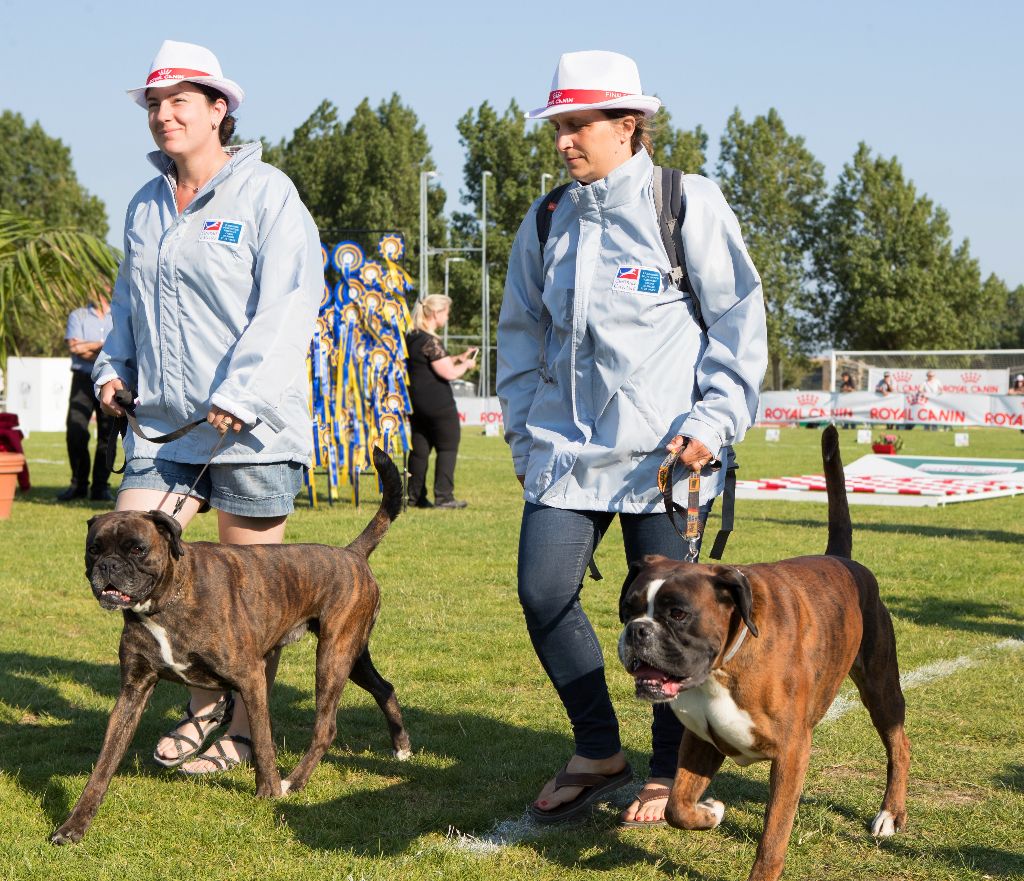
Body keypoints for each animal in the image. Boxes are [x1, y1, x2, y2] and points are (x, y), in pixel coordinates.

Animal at [50, 450, 411, 844]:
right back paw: (401, 747)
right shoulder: (132, 693)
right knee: (384, 688)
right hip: (352, 654)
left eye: (138, 549)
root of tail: (351, 554)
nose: (108, 566)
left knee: (326, 728)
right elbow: (103, 766)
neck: (168, 600)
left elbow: (263, 743)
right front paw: (74, 825)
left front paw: (269, 791)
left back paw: (294, 782)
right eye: (93, 550)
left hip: (332, 658)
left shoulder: (251, 678)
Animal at [618, 424, 909, 876]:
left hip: (880, 688)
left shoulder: (791, 754)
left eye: (678, 614)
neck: (725, 665)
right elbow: (676, 807)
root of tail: (841, 560)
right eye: (628, 610)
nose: (637, 631)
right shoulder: (701, 740)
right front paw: (710, 811)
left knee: (899, 746)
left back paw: (890, 814)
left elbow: (772, 839)